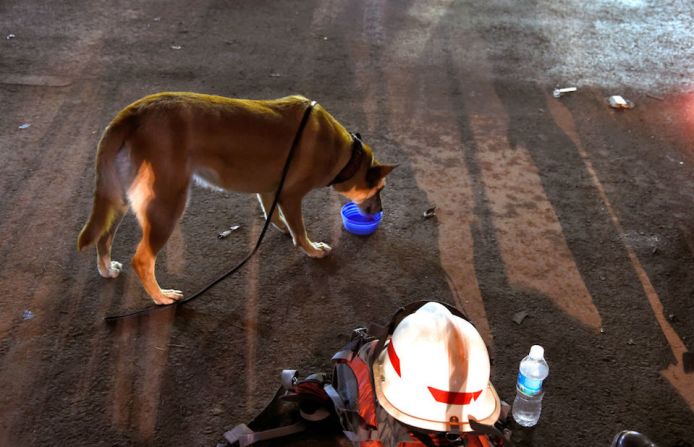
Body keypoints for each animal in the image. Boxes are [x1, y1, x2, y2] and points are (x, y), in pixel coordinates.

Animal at [77, 93, 396, 306]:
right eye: (380, 189)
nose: (380, 211)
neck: (346, 155)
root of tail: (135, 111)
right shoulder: (291, 195)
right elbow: (300, 230)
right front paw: (312, 249)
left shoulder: (270, 189)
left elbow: (274, 214)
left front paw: (281, 229)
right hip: (167, 205)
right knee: (142, 259)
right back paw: (161, 296)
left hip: (117, 197)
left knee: (103, 237)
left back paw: (106, 269)